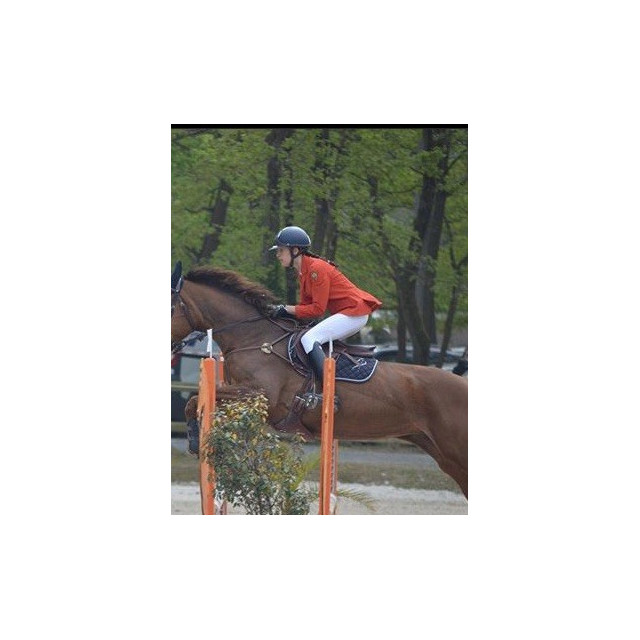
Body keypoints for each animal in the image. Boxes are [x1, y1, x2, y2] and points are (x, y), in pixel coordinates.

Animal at [171, 263, 468, 498]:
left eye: (172, 307)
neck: (253, 339)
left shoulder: (260, 396)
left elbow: (196, 399)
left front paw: (195, 440)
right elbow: (195, 401)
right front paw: (197, 440)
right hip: (447, 457)